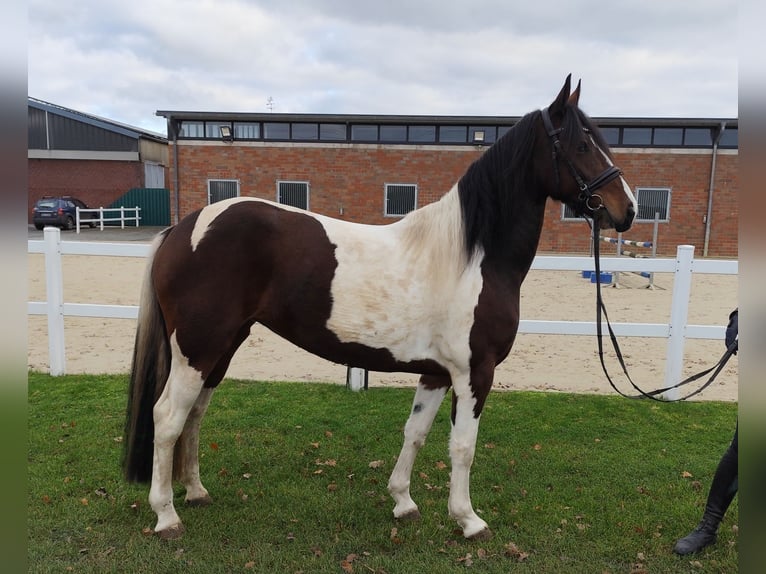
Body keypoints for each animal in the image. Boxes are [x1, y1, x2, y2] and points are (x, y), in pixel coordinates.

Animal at [123, 75, 636, 540]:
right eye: (583, 144)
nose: (626, 210)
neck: (472, 257)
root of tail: (182, 229)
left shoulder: (437, 372)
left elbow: (416, 433)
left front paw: (403, 501)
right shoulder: (475, 372)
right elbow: (463, 447)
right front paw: (469, 520)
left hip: (221, 348)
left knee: (194, 414)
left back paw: (196, 491)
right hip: (198, 348)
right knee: (167, 417)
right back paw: (166, 516)